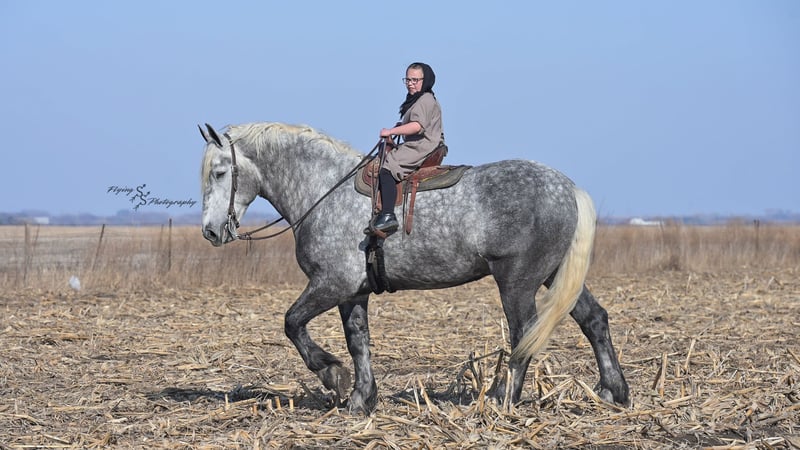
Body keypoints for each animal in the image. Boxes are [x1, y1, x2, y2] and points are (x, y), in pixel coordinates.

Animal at [199, 122, 629, 414]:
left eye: (219, 172)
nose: (210, 231)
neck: (324, 190)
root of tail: (567, 188)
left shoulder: (331, 284)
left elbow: (291, 323)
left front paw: (331, 374)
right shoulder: (352, 292)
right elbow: (358, 341)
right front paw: (361, 397)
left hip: (518, 281)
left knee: (524, 333)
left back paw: (499, 397)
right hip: (553, 275)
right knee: (594, 320)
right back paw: (613, 391)